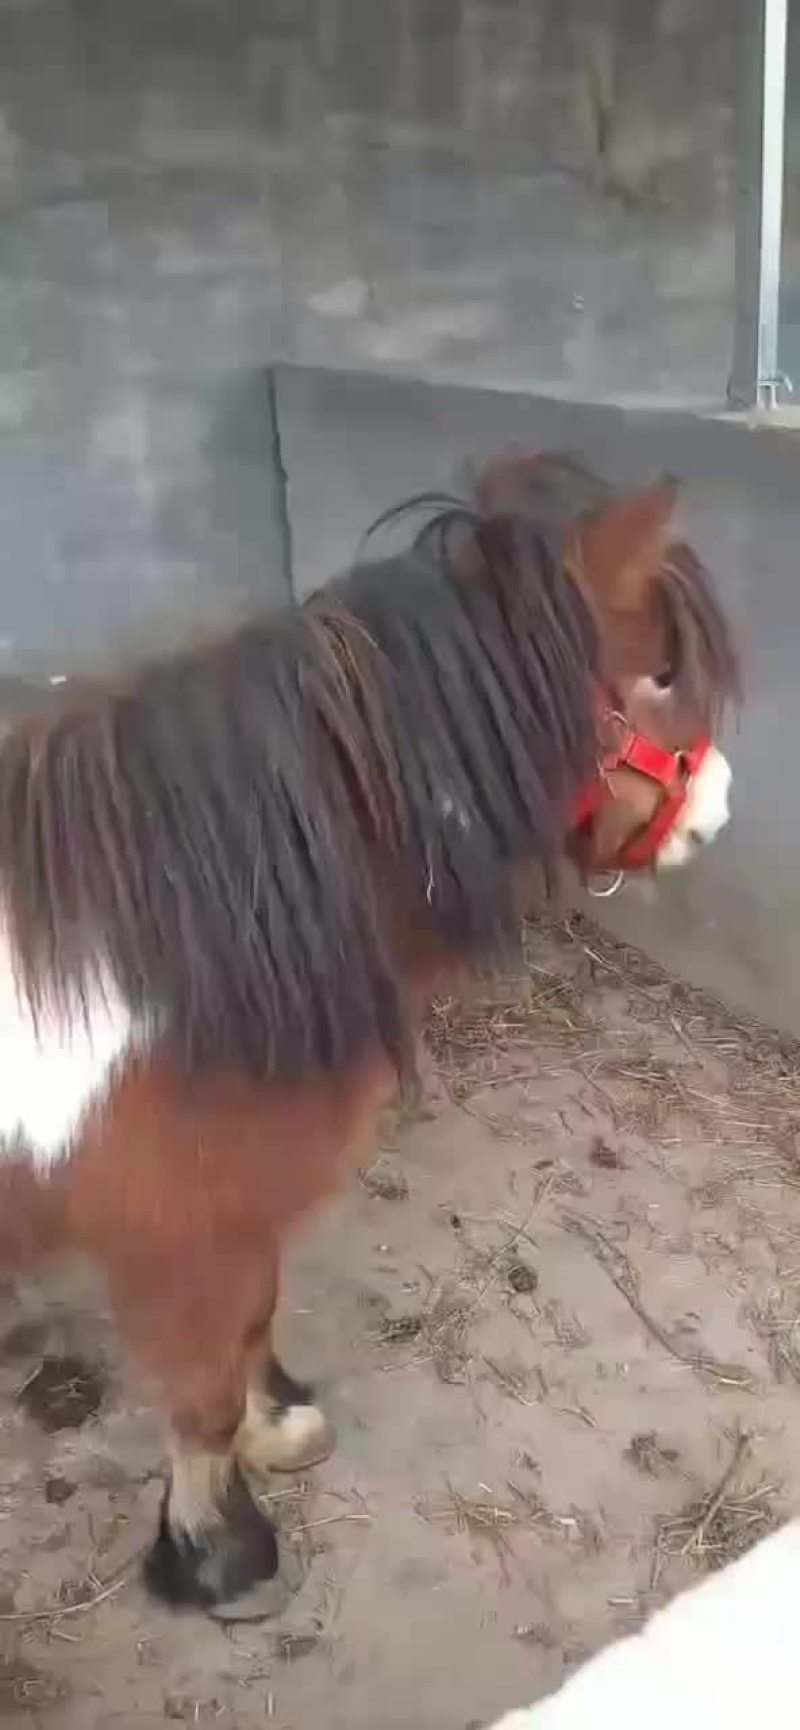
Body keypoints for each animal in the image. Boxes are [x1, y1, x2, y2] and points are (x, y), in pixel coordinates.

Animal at [0, 449, 738, 1615]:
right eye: (661, 670)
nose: (714, 812)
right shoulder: (178, 1243)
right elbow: (201, 1395)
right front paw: (215, 1555)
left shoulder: (235, 1225)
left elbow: (252, 1331)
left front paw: (275, 1433)